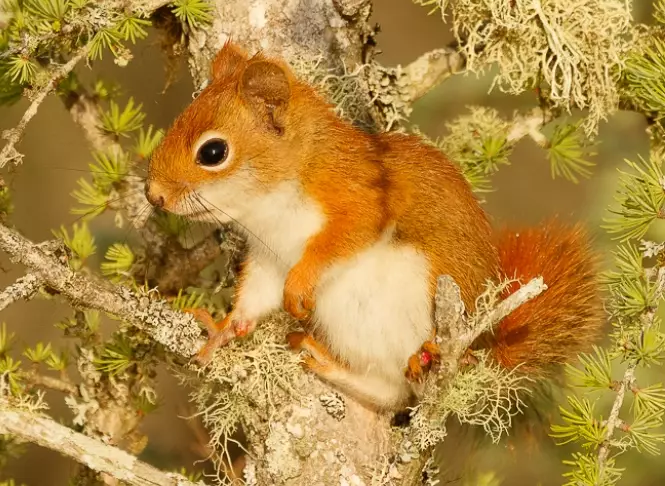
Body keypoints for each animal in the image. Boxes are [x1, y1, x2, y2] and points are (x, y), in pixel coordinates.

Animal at [144, 40, 604, 412]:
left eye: (213, 152)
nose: (154, 195)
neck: (270, 206)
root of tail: (488, 348)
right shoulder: (268, 258)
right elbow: (254, 300)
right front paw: (223, 331)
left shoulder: (359, 199)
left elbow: (340, 240)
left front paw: (299, 285)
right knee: (389, 391)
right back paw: (323, 359)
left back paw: (430, 353)